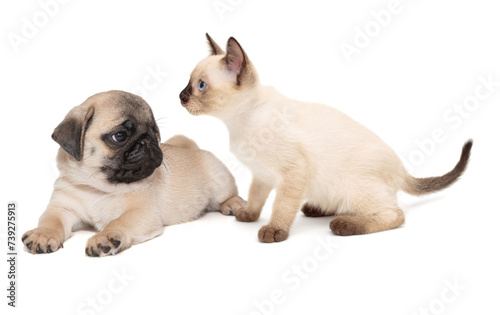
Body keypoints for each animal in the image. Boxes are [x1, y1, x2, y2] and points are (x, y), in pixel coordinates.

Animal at [22, 90, 245, 256]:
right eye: (120, 136)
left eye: (155, 132)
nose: (148, 141)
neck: (97, 187)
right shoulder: (62, 209)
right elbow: (50, 221)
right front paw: (42, 234)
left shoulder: (140, 212)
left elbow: (118, 222)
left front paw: (105, 237)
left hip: (218, 181)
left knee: (228, 194)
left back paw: (234, 204)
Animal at [179, 33, 472, 243]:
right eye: (189, 83)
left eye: (201, 86)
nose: (180, 96)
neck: (238, 123)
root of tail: (401, 169)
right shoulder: (262, 174)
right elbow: (256, 197)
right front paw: (249, 215)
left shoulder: (292, 173)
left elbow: (282, 206)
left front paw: (274, 230)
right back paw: (317, 209)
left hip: (354, 188)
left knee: (395, 214)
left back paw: (343, 224)